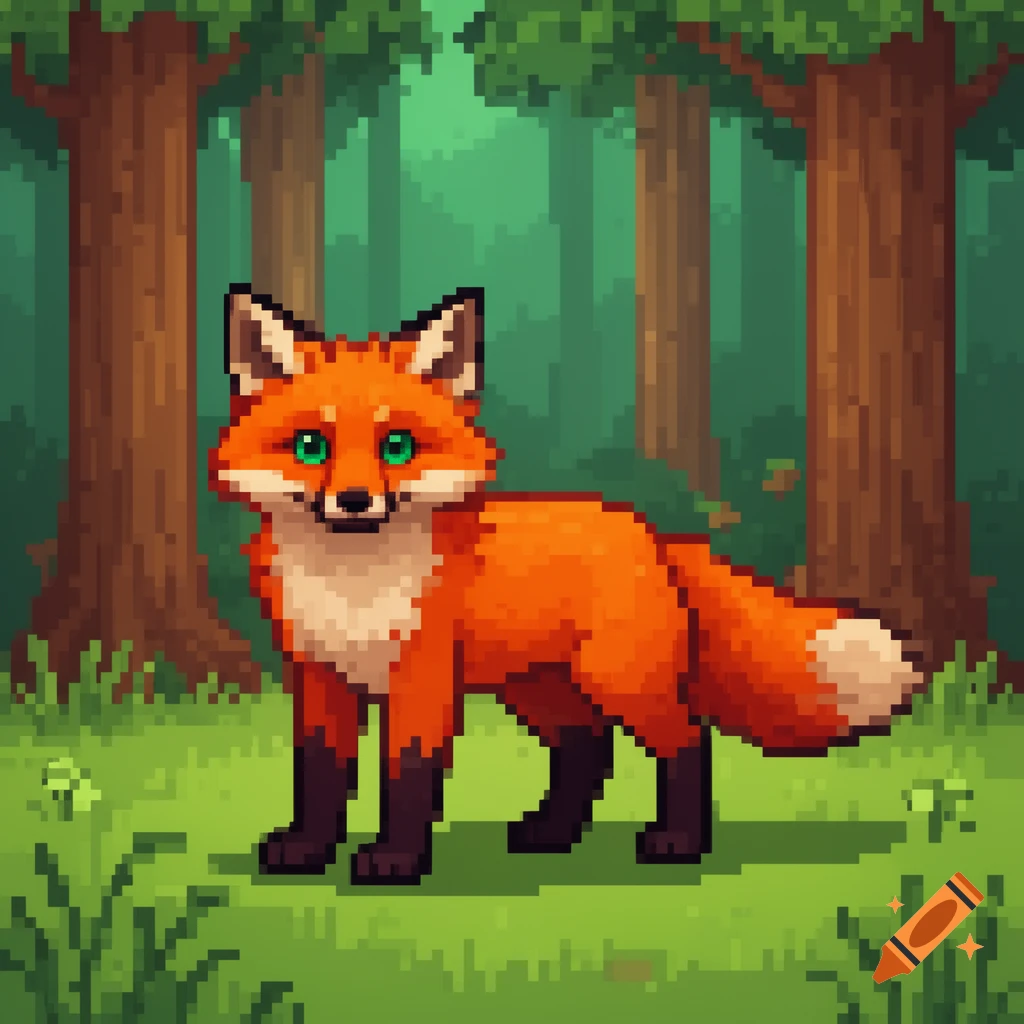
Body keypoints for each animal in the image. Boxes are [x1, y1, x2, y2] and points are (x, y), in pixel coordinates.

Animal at [210, 283, 923, 885]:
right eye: (310, 445)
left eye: (397, 446)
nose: (355, 501)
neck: (353, 586)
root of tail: (654, 534)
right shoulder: (318, 675)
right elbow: (319, 772)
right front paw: (308, 850)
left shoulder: (422, 677)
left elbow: (407, 773)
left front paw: (395, 860)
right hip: (538, 687)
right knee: (588, 746)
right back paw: (552, 834)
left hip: (617, 677)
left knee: (687, 740)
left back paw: (678, 842)